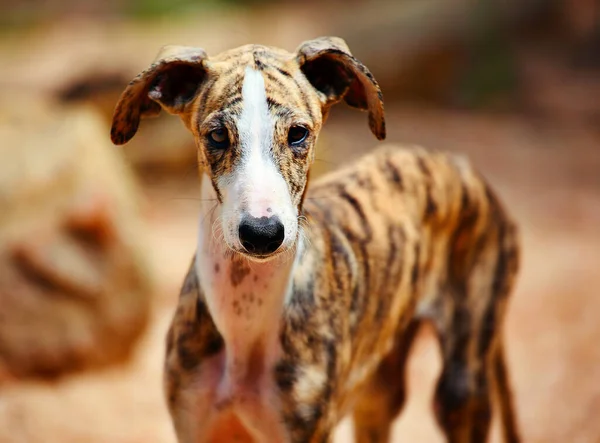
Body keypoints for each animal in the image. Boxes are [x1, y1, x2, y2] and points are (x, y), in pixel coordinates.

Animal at [111, 37, 520, 443]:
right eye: (217, 135)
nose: (262, 234)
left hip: (462, 388)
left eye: (298, 133)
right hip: (377, 394)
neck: (245, 319)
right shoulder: (196, 426)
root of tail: (460, 165)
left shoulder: (305, 431)